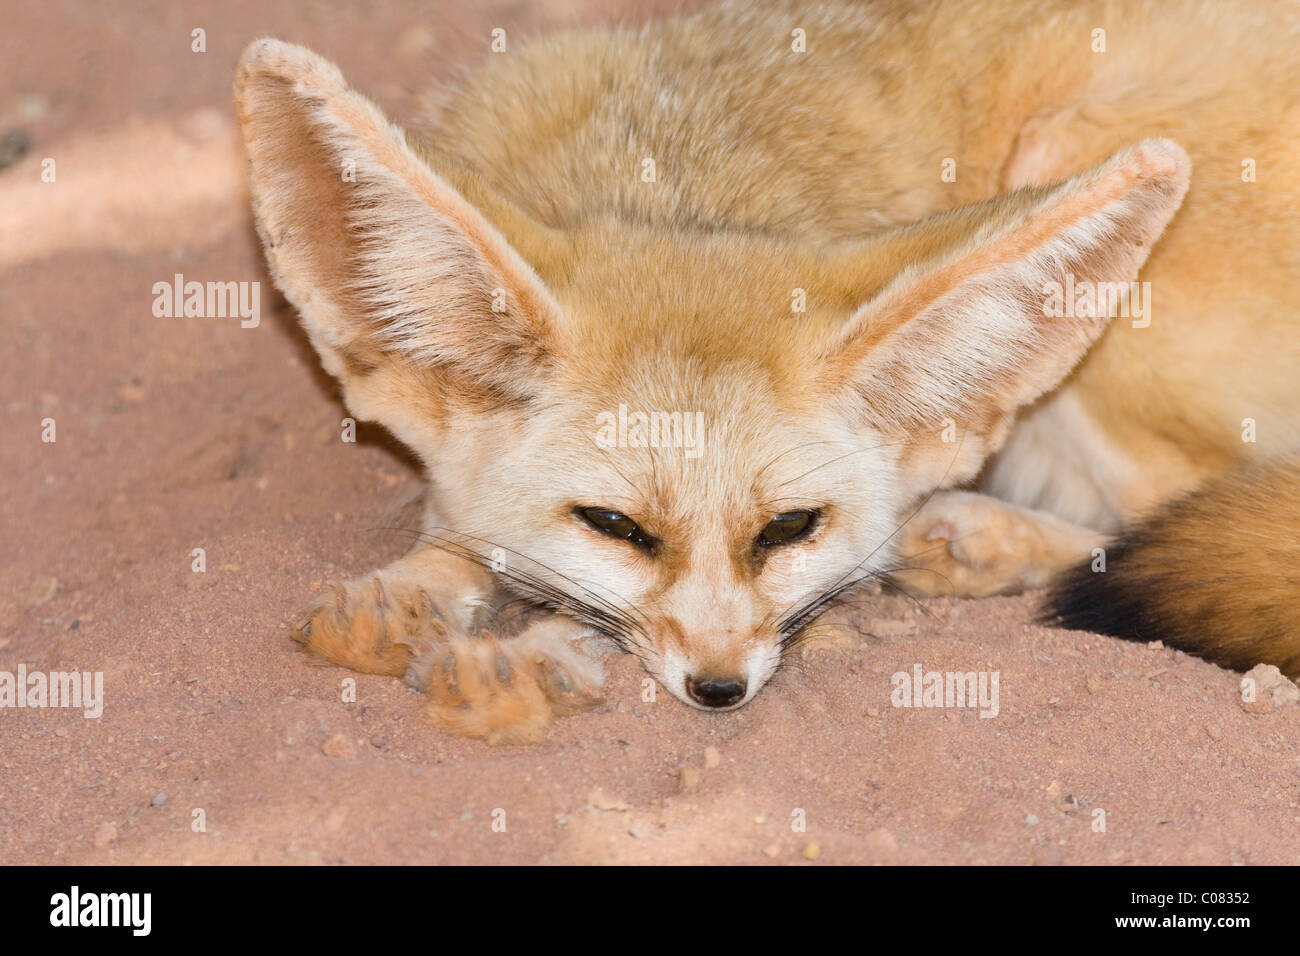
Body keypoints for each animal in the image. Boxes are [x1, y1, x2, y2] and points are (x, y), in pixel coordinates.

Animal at [236, 0, 1300, 743]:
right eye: (616, 527)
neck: (671, 163)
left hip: (1067, 157)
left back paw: (979, 537)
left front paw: (536, 655)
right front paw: (413, 588)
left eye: (788, 529)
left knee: (1180, 503)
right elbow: (464, 529)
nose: (720, 691)